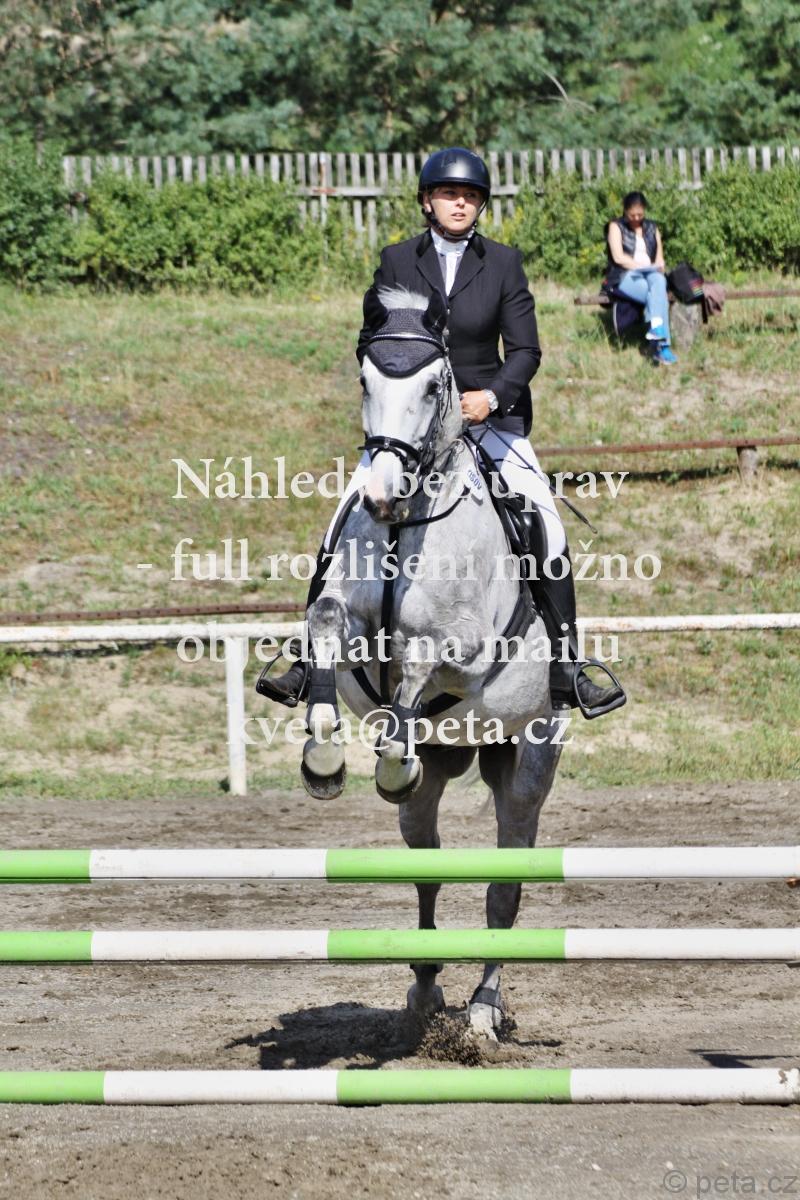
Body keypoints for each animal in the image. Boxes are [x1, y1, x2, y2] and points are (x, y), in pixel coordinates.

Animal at [299, 285, 564, 1037]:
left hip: (531, 751)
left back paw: (482, 1010)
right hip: (442, 774)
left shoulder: (465, 651)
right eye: (366, 381)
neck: (410, 522)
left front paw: (389, 753)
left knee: (505, 885)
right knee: (427, 865)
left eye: (434, 385)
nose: (382, 494)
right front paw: (323, 757)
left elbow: (421, 662)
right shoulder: (349, 622)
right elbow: (327, 626)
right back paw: (424, 992)